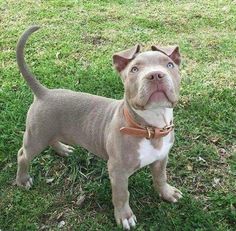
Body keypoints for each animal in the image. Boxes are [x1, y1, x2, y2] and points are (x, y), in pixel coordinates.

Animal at [16, 26, 183, 230]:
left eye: (169, 65)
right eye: (134, 69)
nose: (156, 75)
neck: (149, 127)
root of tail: (44, 93)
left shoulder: (161, 158)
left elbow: (161, 177)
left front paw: (167, 193)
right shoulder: (117, 171)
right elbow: (122, 195)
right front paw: (125, 216)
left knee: (53, 140)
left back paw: (63, 149)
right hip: (37, 135)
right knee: (23, 155)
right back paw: (23, 180)